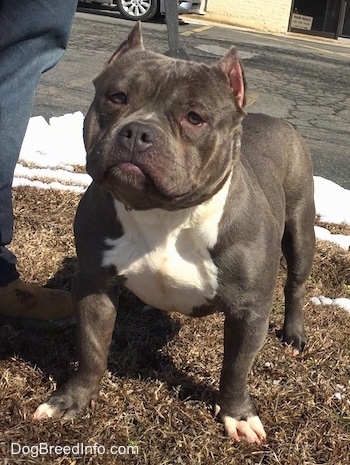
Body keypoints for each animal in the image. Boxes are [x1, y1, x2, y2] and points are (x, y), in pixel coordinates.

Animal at [34, 21, 316, 442]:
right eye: (117, 97)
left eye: (194, 117)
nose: (137, 131)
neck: (165, 215)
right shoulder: (93, 284)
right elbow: (91, 348)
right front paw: (72, 399)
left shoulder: (249, 310)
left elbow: (236, 368)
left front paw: (237, 414)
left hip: (300, 228)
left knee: (295, 283)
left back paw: (294, 334)